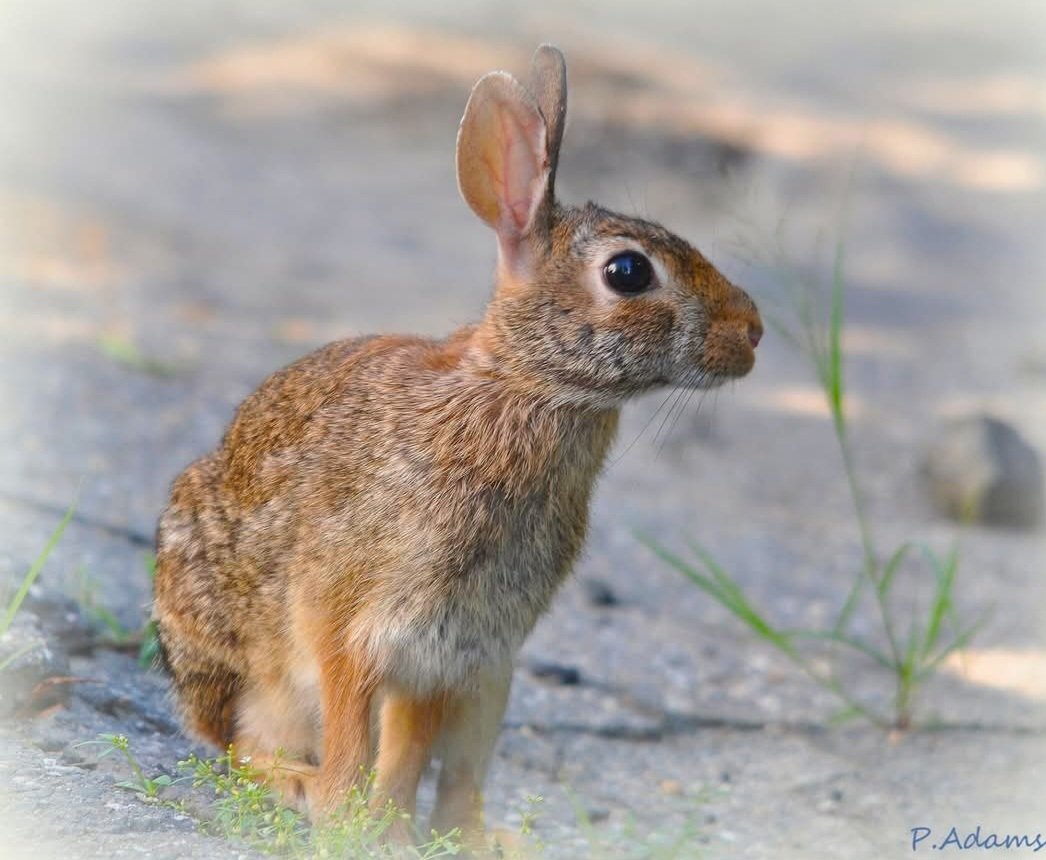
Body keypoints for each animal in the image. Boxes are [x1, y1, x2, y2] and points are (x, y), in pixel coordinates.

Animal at [153, 43, 762, 850]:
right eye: (628, 272)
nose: (753, 330)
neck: (523, 385)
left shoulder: (459, 652)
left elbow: (412, 754)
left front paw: (392, 834)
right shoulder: (355, 628)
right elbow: (354, 734)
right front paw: (346, 826)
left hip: (488, 678)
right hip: (248, 666)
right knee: (239, 744)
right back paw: (298, 785)